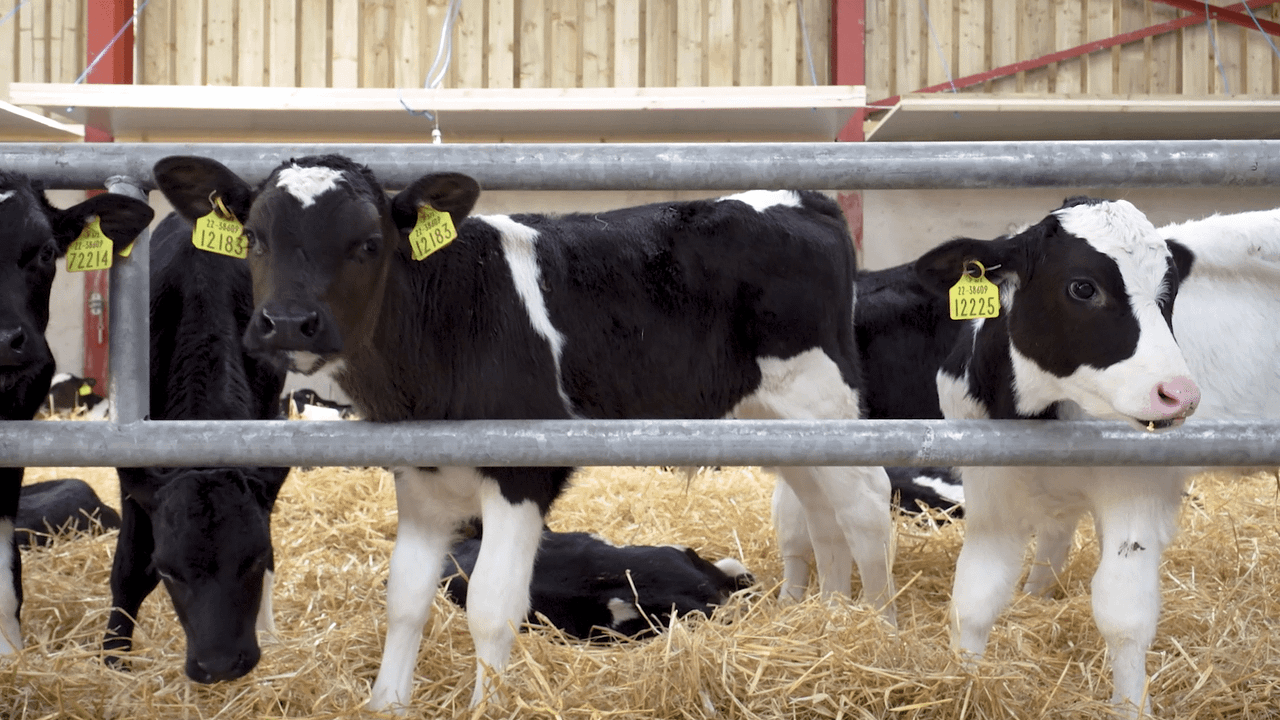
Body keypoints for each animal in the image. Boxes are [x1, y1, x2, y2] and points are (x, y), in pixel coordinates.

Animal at [914, 197, 1202, 716]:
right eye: (1083, 287)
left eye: (1168, 291)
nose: (1181, 394)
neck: (1035, 413)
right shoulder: (990, 488)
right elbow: (975, 595)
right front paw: (964, 685)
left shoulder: (1136, 488)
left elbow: (1123, 614)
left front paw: (1130, 706)